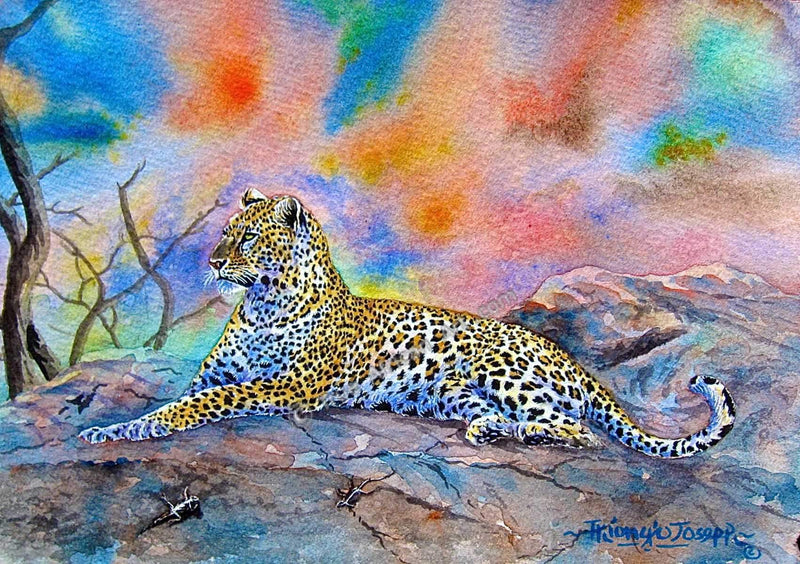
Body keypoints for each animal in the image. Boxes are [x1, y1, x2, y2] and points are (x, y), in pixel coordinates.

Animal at [79, 189, 735, 458]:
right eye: (224, 236)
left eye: (245, 240)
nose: (213, 262)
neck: (262, 302)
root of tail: (572, 360)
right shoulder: (214, 374)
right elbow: (180, 398)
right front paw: (111, 431)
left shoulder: (290, 387)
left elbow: (198, 406)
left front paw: (137, 429)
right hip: (451, 394)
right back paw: (488, 432)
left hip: (503, 372)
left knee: (577, 432)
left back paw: (518, 435)